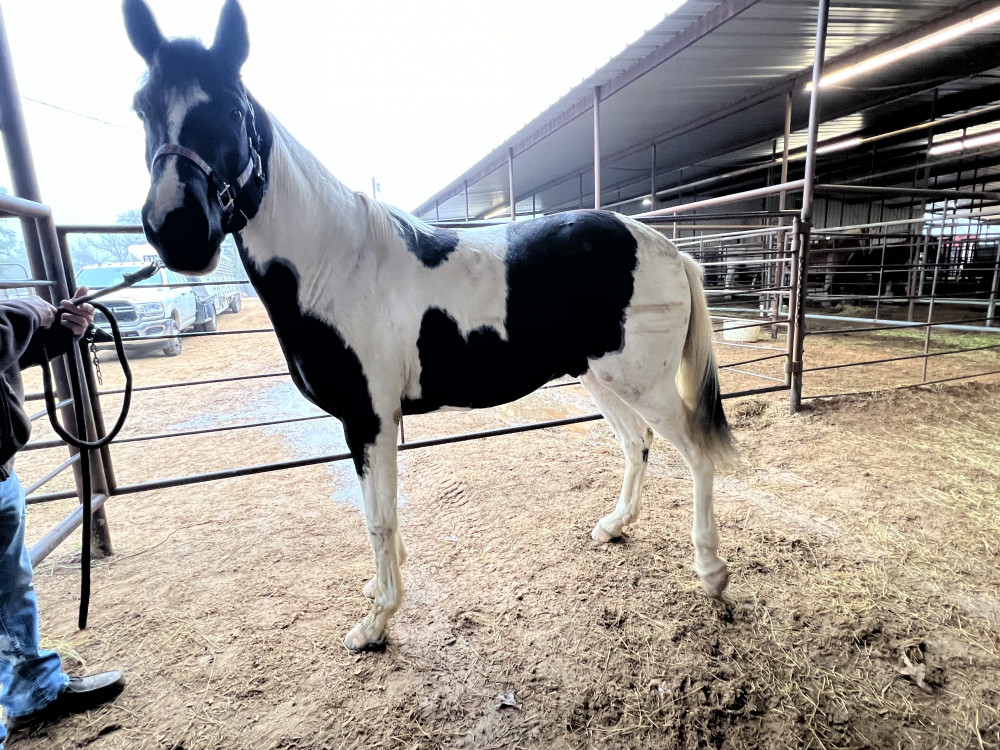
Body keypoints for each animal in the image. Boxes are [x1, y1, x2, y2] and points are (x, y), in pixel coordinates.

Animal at [123, 0, 737, 652]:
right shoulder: (370, 423)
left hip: (643, 383)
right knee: (635, 443)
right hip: (602, 378)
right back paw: (614, 527)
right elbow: (379, 516)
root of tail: (666, 247)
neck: (333, 261)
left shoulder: (368, 419)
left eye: (234, 109)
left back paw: (711, 572)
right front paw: (379, 591)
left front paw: (374, 625)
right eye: (142, 107)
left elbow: (378, 518)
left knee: (696, 453)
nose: (177, 230)